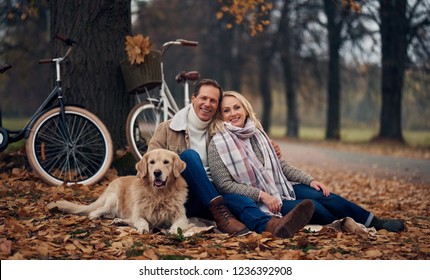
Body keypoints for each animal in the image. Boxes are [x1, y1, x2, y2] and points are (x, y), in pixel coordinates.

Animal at [46, 149, 191, 234]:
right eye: (152, 162)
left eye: (166, 162)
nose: (157, 172)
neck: (159, 194)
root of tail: (114, 180)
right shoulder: (139, 214)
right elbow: (143, 221)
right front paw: (144, 228)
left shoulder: (181, 217)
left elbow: (177, 225)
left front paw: (173, 231)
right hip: (113, 199)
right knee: (99, 210)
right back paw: (95, 216)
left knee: (117, 216)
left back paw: (119, 221)